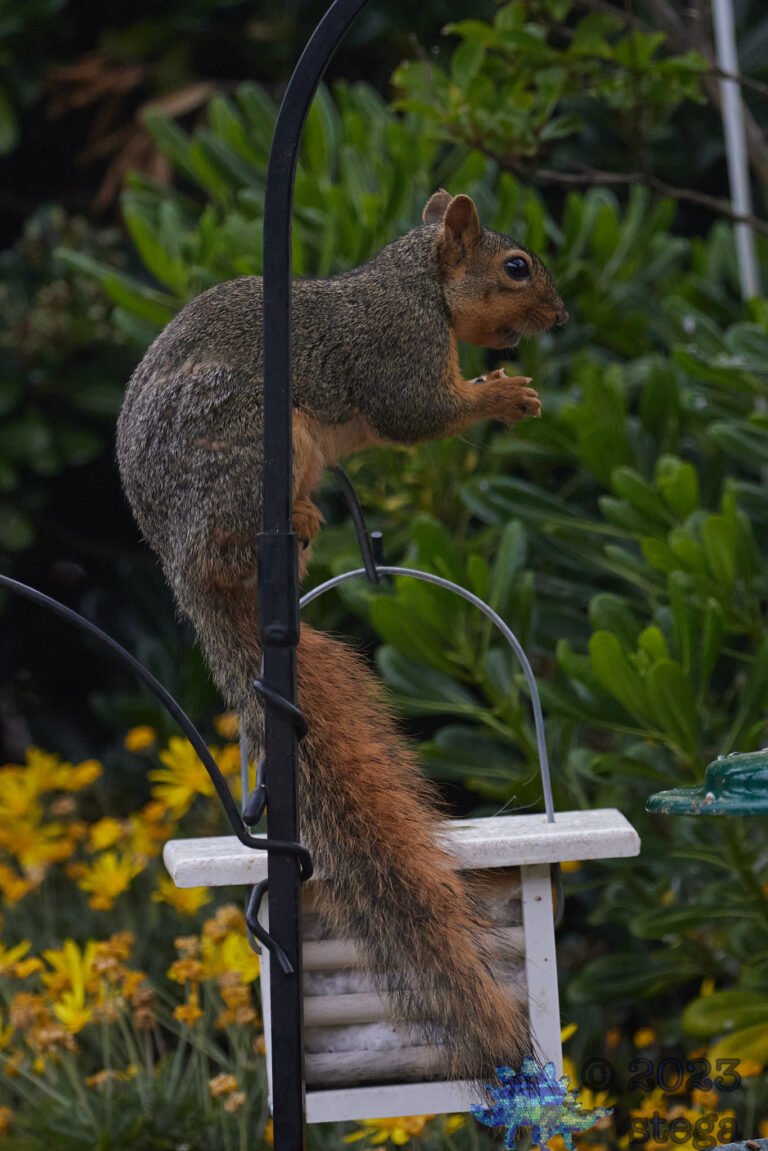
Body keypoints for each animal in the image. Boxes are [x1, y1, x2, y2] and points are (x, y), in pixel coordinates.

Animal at [116, 189, 567, 1085]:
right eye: (516, 267)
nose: (561, 315)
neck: (413, 281)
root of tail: (181, 566)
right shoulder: (395, 345)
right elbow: (418, 411)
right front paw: (502, 397)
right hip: (246, 442)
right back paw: (291, 522)